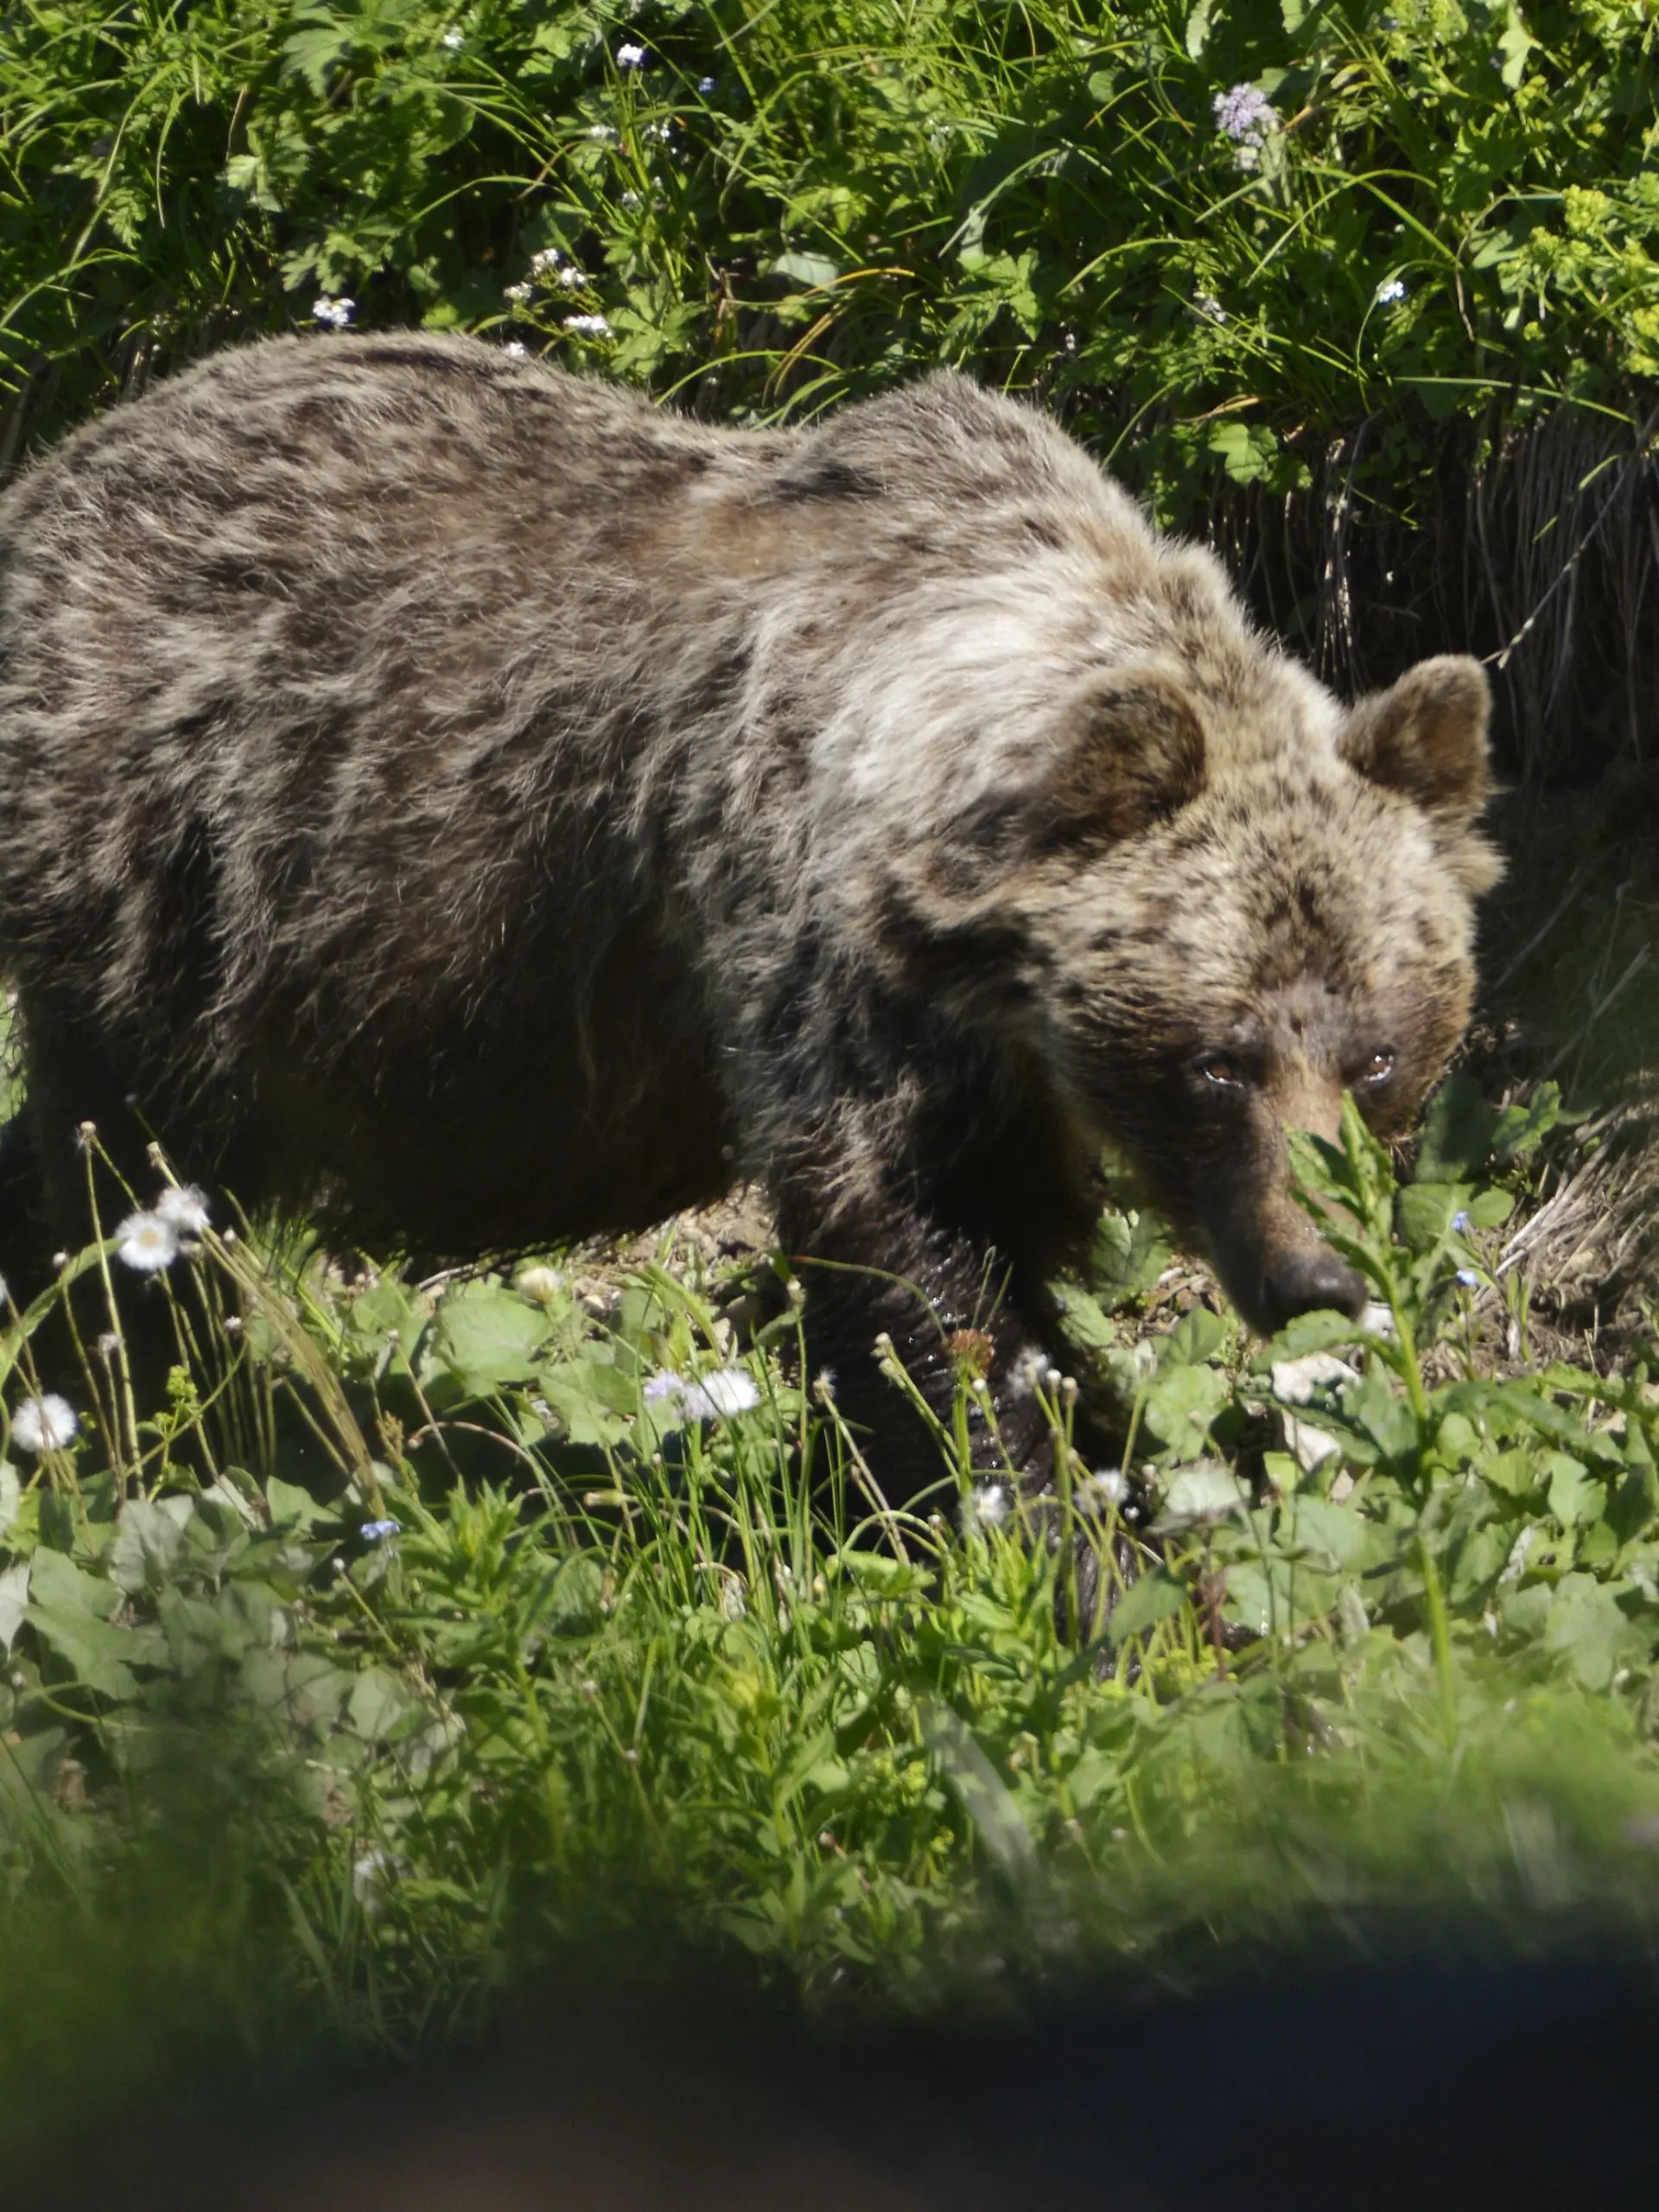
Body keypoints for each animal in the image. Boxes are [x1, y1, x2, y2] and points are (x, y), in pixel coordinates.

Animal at [0, 332, 1498, 1510]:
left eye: (1377, 1053)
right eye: (1215, 1060)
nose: (1321, 1274)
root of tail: (62, 462)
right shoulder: (813, 941)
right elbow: (922, 1278)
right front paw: (1058, 1523)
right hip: (168, 876)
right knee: (121, 1175)